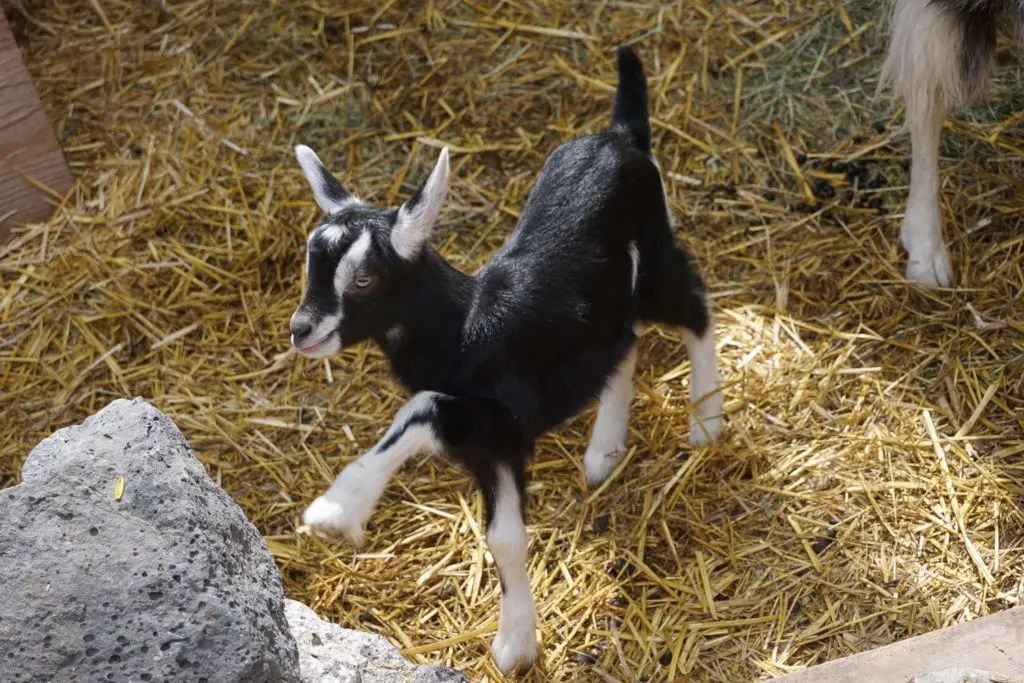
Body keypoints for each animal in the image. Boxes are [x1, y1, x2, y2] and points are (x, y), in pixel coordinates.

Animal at [287, 47, 723, 673]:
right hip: (612, 301)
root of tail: (620, 137)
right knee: (625, 341)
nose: (301, 330)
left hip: (657, 256)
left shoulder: (505, 426)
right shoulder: (480, 436)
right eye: (309, 264)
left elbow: (502, 534)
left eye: (364, 278)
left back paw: (706, 420)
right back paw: (604, 449)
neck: (467, 327)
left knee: (694, 304)